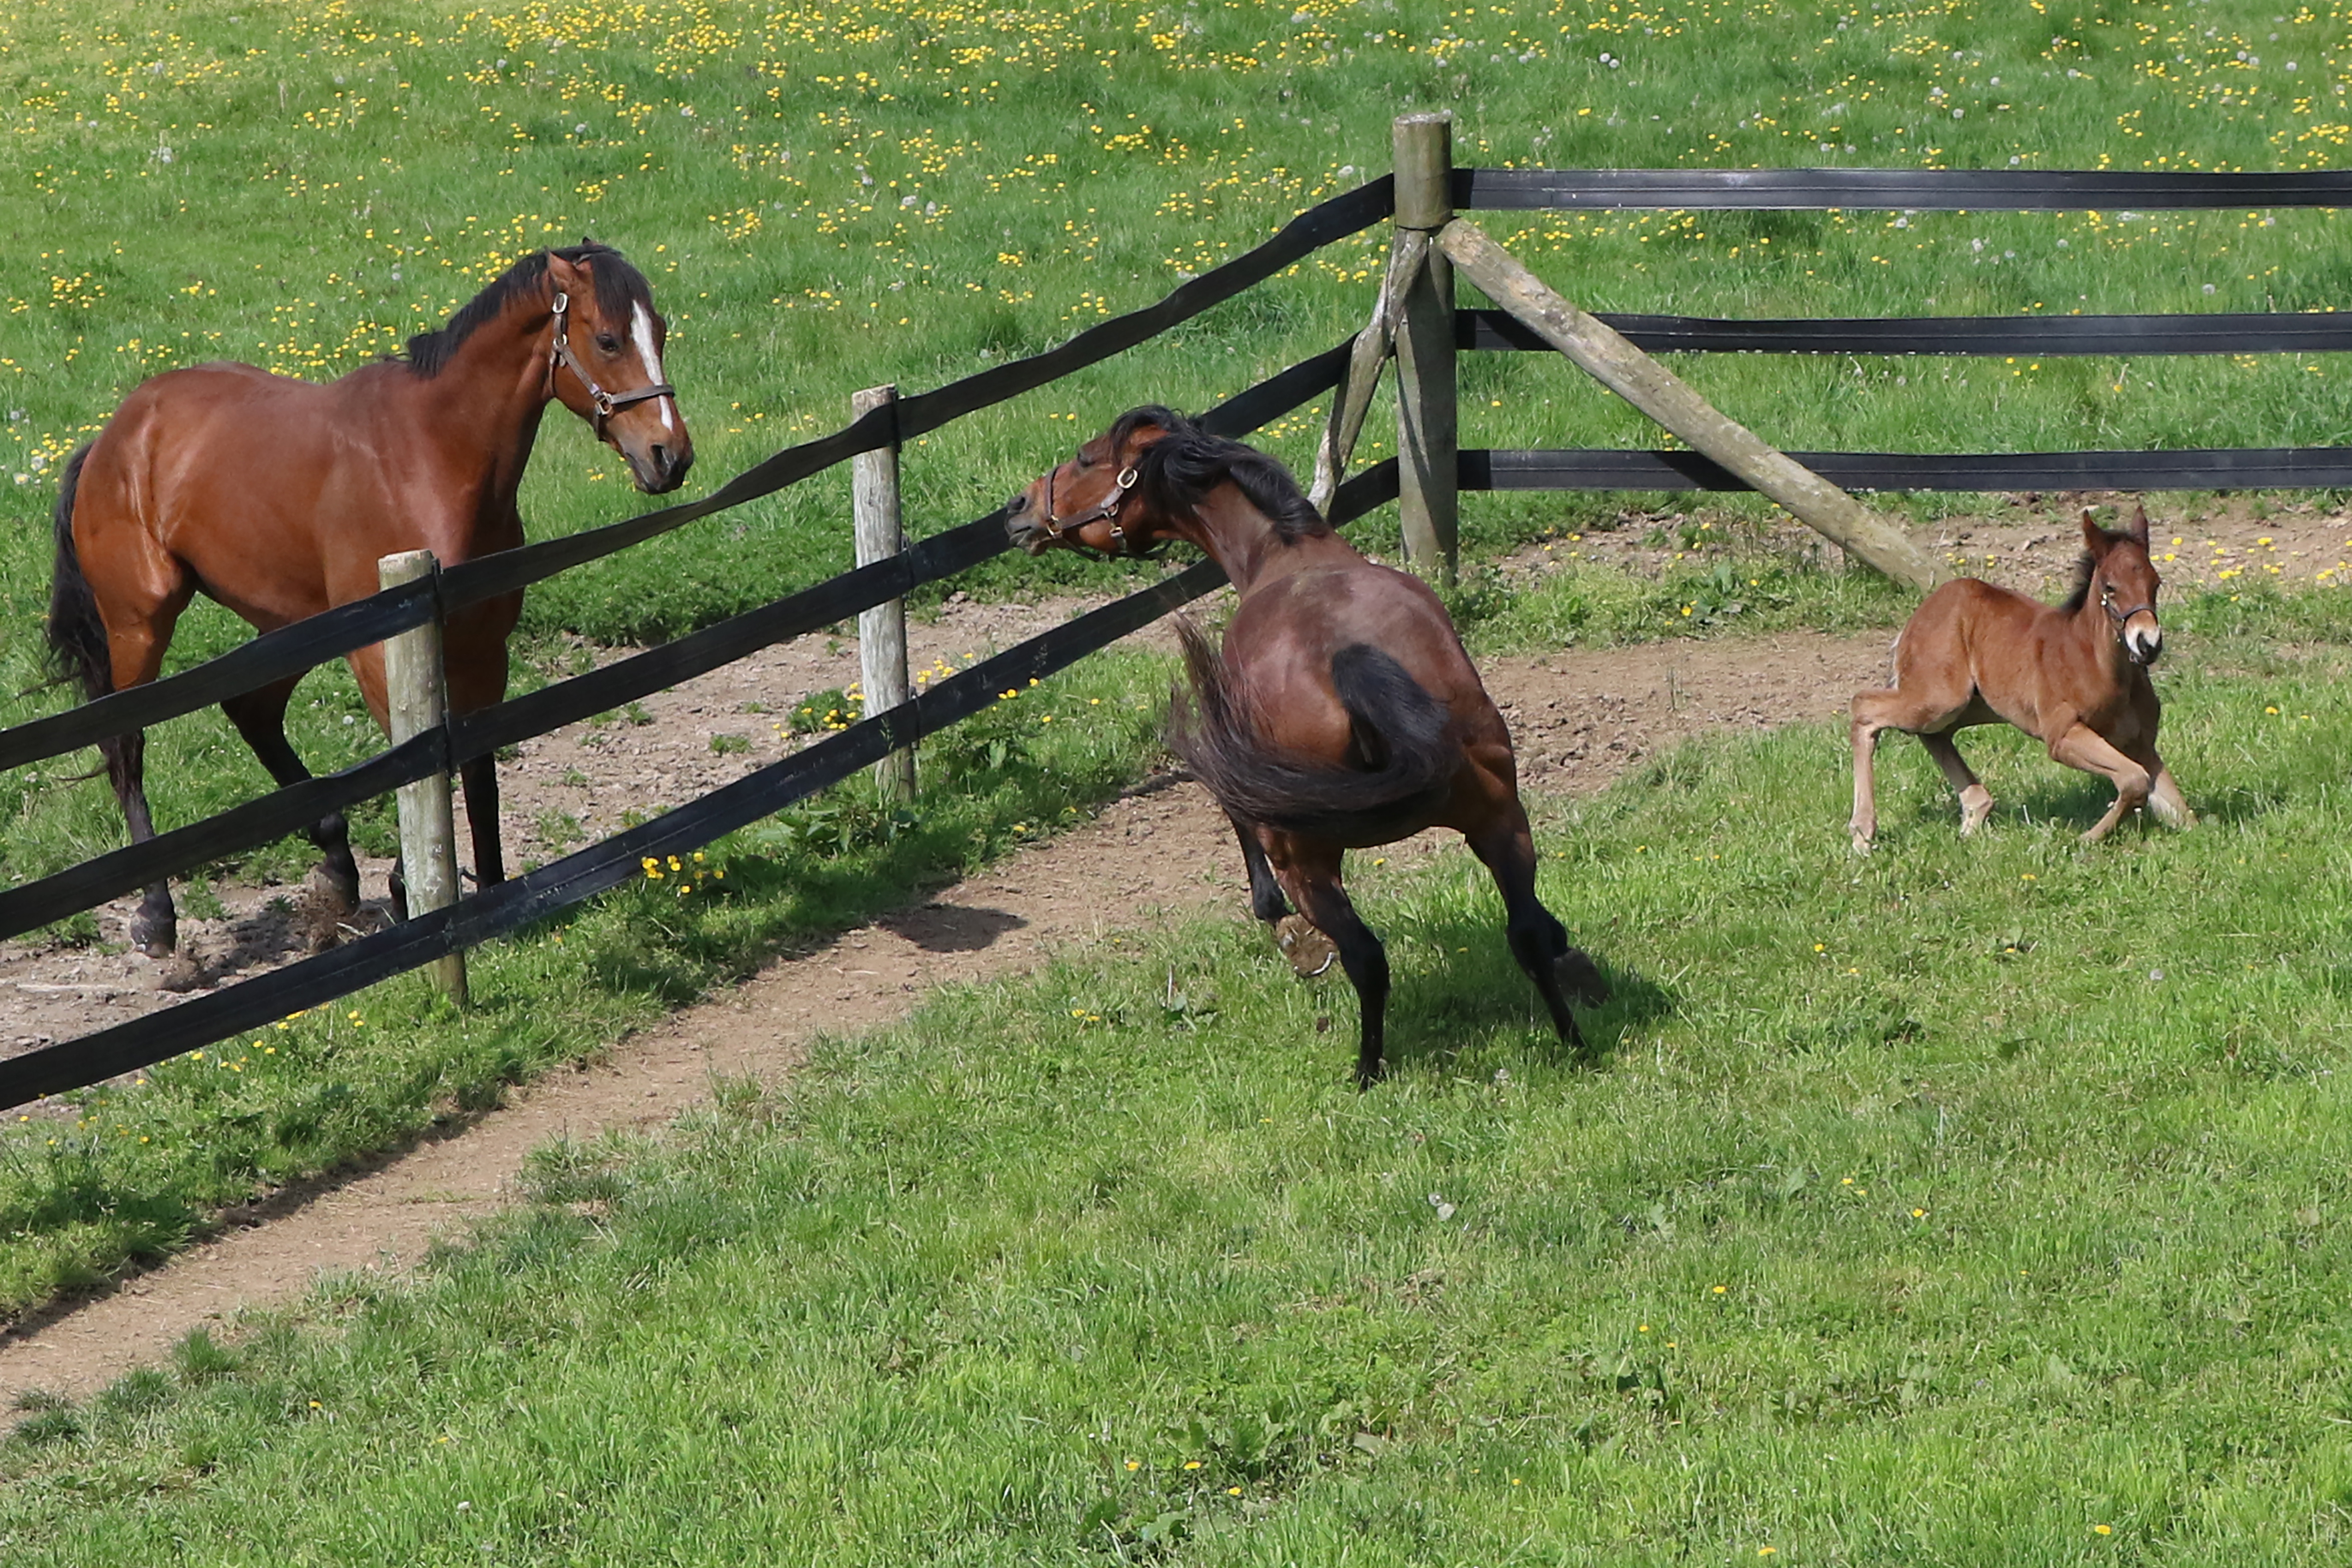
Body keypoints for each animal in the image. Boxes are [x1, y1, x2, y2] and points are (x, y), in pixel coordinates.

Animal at [46, 242, 686, 968]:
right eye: (607, 339)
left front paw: (491, 893)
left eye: (660, 332)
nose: (670, 455)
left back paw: (338, 869)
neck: (433, 457)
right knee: (126, 745)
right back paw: (158, 916)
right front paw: (413, 890)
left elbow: (478, 771)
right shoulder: (380, 655)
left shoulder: (483, 650)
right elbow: (414, 760)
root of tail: (113, 437)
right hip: (141, 623)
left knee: (251, 710)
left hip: (291, 623)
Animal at [1002, 411, 1608, 1086]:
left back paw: (1366, 1070)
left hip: (1311, 859)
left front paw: (1287, 933)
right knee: (1523, 931)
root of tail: (1351, 661)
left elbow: (1241, 833)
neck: (1286, 554)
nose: (1018, 508)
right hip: (1500, 819)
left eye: (1086, 459)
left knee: (1367, 956)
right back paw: (1574, 1039)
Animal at [1844, 503, 2192, 846]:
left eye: (2156, 583)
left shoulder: (2142, 746)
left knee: (1934, 733)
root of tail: (1923, 610)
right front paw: (2087, 838)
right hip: (1941, 697)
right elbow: (2134, 780)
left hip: (1978, 706)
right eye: (2110, 587)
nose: (2148, 644)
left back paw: (1974, 815)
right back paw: (1863, 832)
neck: (2100, 666)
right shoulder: (2062, 735)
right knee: (1865, 706)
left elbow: (2183, 815)